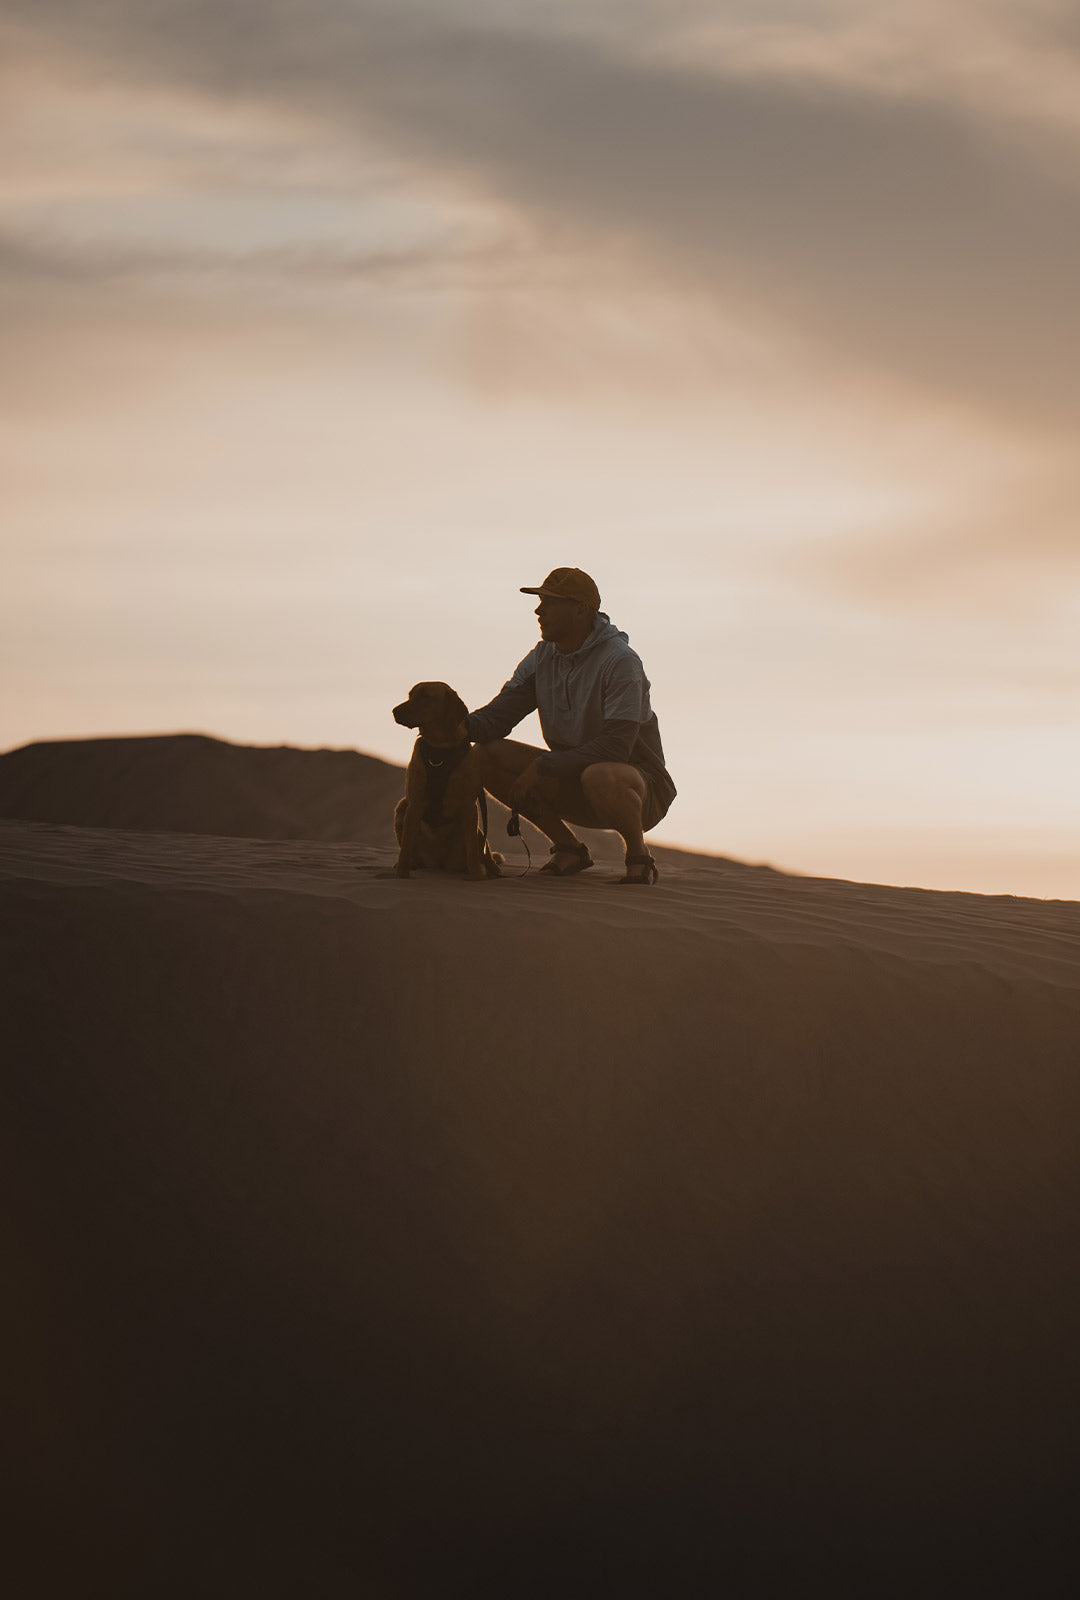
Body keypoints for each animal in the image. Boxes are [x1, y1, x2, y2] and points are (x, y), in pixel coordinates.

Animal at [393, 681, 502, 883]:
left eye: (425, 696)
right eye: (410, 695)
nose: (394, 711)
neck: (439, 749)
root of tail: (438, 864)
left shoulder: (469, 806)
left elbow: (472, 852)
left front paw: (476, 877)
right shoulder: (414, 804)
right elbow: (405, 847)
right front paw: (401, 875)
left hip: (475, 834)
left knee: (482, 854)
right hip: (402, 806)